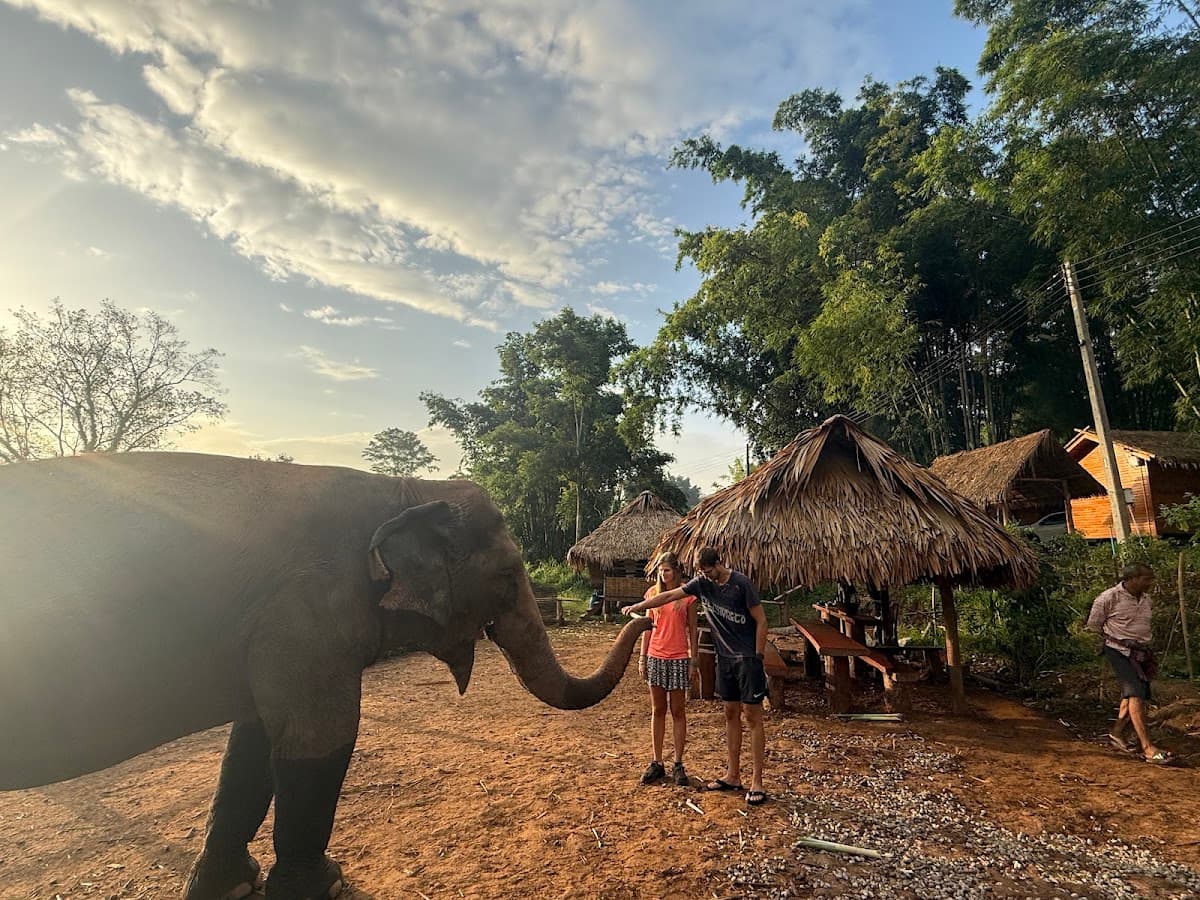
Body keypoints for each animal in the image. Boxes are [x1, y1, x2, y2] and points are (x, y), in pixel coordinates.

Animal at [0, 452, 650, 899]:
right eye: (510, 575)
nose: (643, 610)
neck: (399, 490)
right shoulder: (306, 610)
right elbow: (322, 737)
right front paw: (326, 884)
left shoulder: (272, 629)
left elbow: (251, 744)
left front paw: (232, 883)